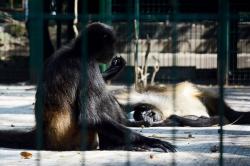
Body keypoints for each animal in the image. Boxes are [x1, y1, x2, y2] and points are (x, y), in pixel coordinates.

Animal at [0, 22, 176, 152]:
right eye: (111, 45)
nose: (113, 52)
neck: (75, 51)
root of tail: (43, 134)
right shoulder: (88, 66)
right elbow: (90, 118)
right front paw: (151, 141)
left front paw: (113, 70)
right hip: (77, 139)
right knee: (102, 97)